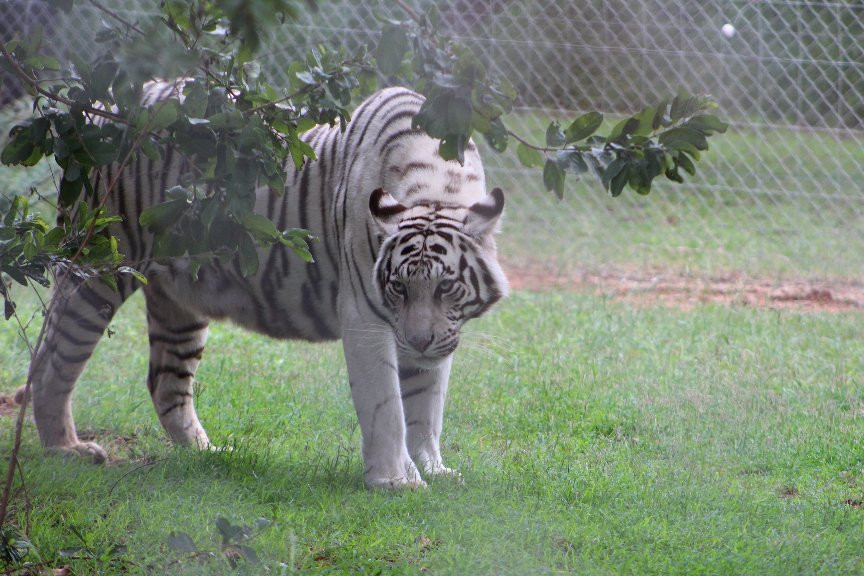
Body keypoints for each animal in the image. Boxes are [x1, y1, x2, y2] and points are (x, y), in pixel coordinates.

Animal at [27, 85, 510, 488]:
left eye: (446, 288)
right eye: (398, 288)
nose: (418, 343)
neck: (437, 185)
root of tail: (105, 104)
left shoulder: (436, 333)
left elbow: (426, 403)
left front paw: (433, 468)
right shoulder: (366, 314)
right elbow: (387, 404)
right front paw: (397, 481)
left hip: (178, 301)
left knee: (165, 382)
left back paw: (209, 454)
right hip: (97, 269)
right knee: (50, 362)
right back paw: (67, 450)